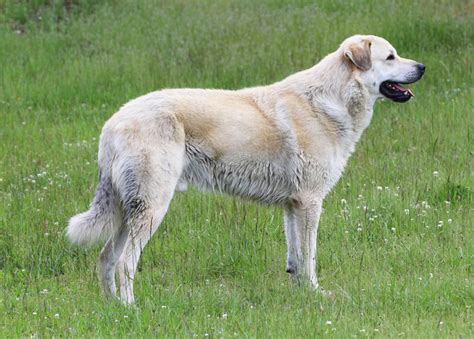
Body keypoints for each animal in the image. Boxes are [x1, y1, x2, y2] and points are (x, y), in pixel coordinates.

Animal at [66, 35, 426, 306]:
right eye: (390, 57)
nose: (422, 67)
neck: (332, 100)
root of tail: (113, 123)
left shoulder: (293, 205)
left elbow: (295, 258)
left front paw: (300, 297)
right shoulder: (311, 202)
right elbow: (309, 257)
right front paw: (316, 295)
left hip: (128, 211)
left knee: (106, 258)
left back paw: (114, 309)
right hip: (151, 207)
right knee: (125, 261)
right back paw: (132, 309)